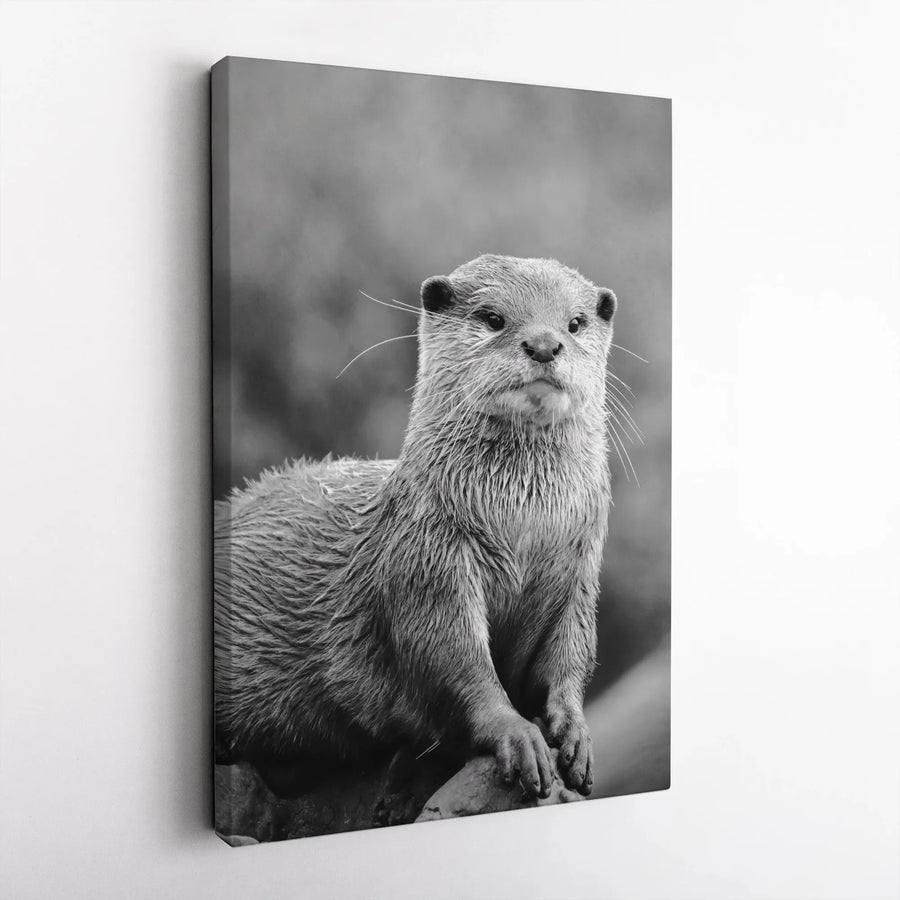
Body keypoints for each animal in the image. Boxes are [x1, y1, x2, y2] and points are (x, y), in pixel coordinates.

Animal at [214, 254, 617, 799]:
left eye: (575, 323)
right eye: (493, 318)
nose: (544, 344)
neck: (523, 528)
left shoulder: (578, 571)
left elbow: (569, 656)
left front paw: (574, 731)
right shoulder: (428, 558)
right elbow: (453, 659)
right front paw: (518, 735)